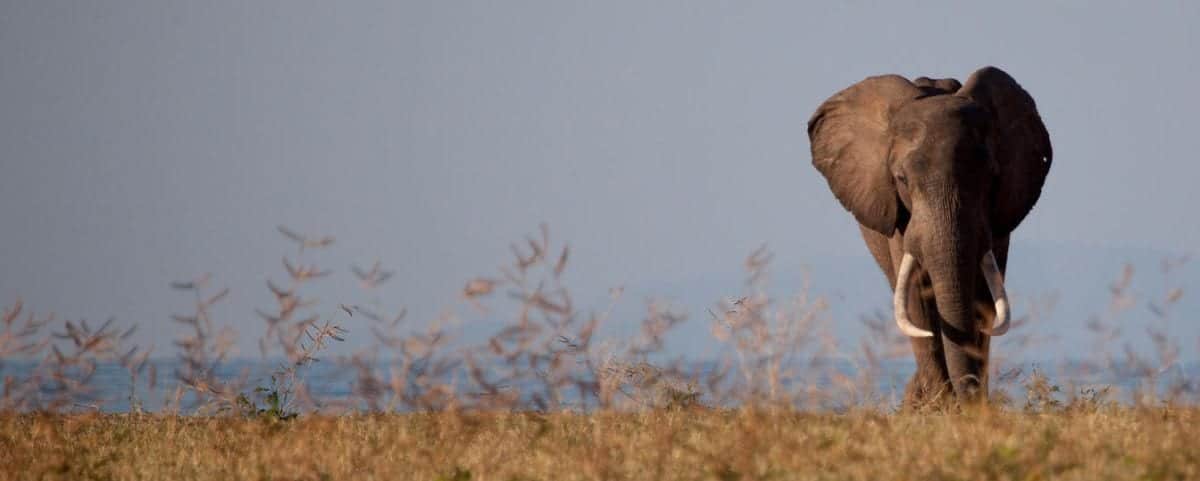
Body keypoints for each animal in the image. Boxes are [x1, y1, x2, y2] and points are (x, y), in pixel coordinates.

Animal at [807, 66, 1051, 405]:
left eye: (991, 177)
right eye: (900, 178)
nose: (969, 399)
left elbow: (982, 297)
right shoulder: (900, 221)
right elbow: (915, 300)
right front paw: (940, 406)